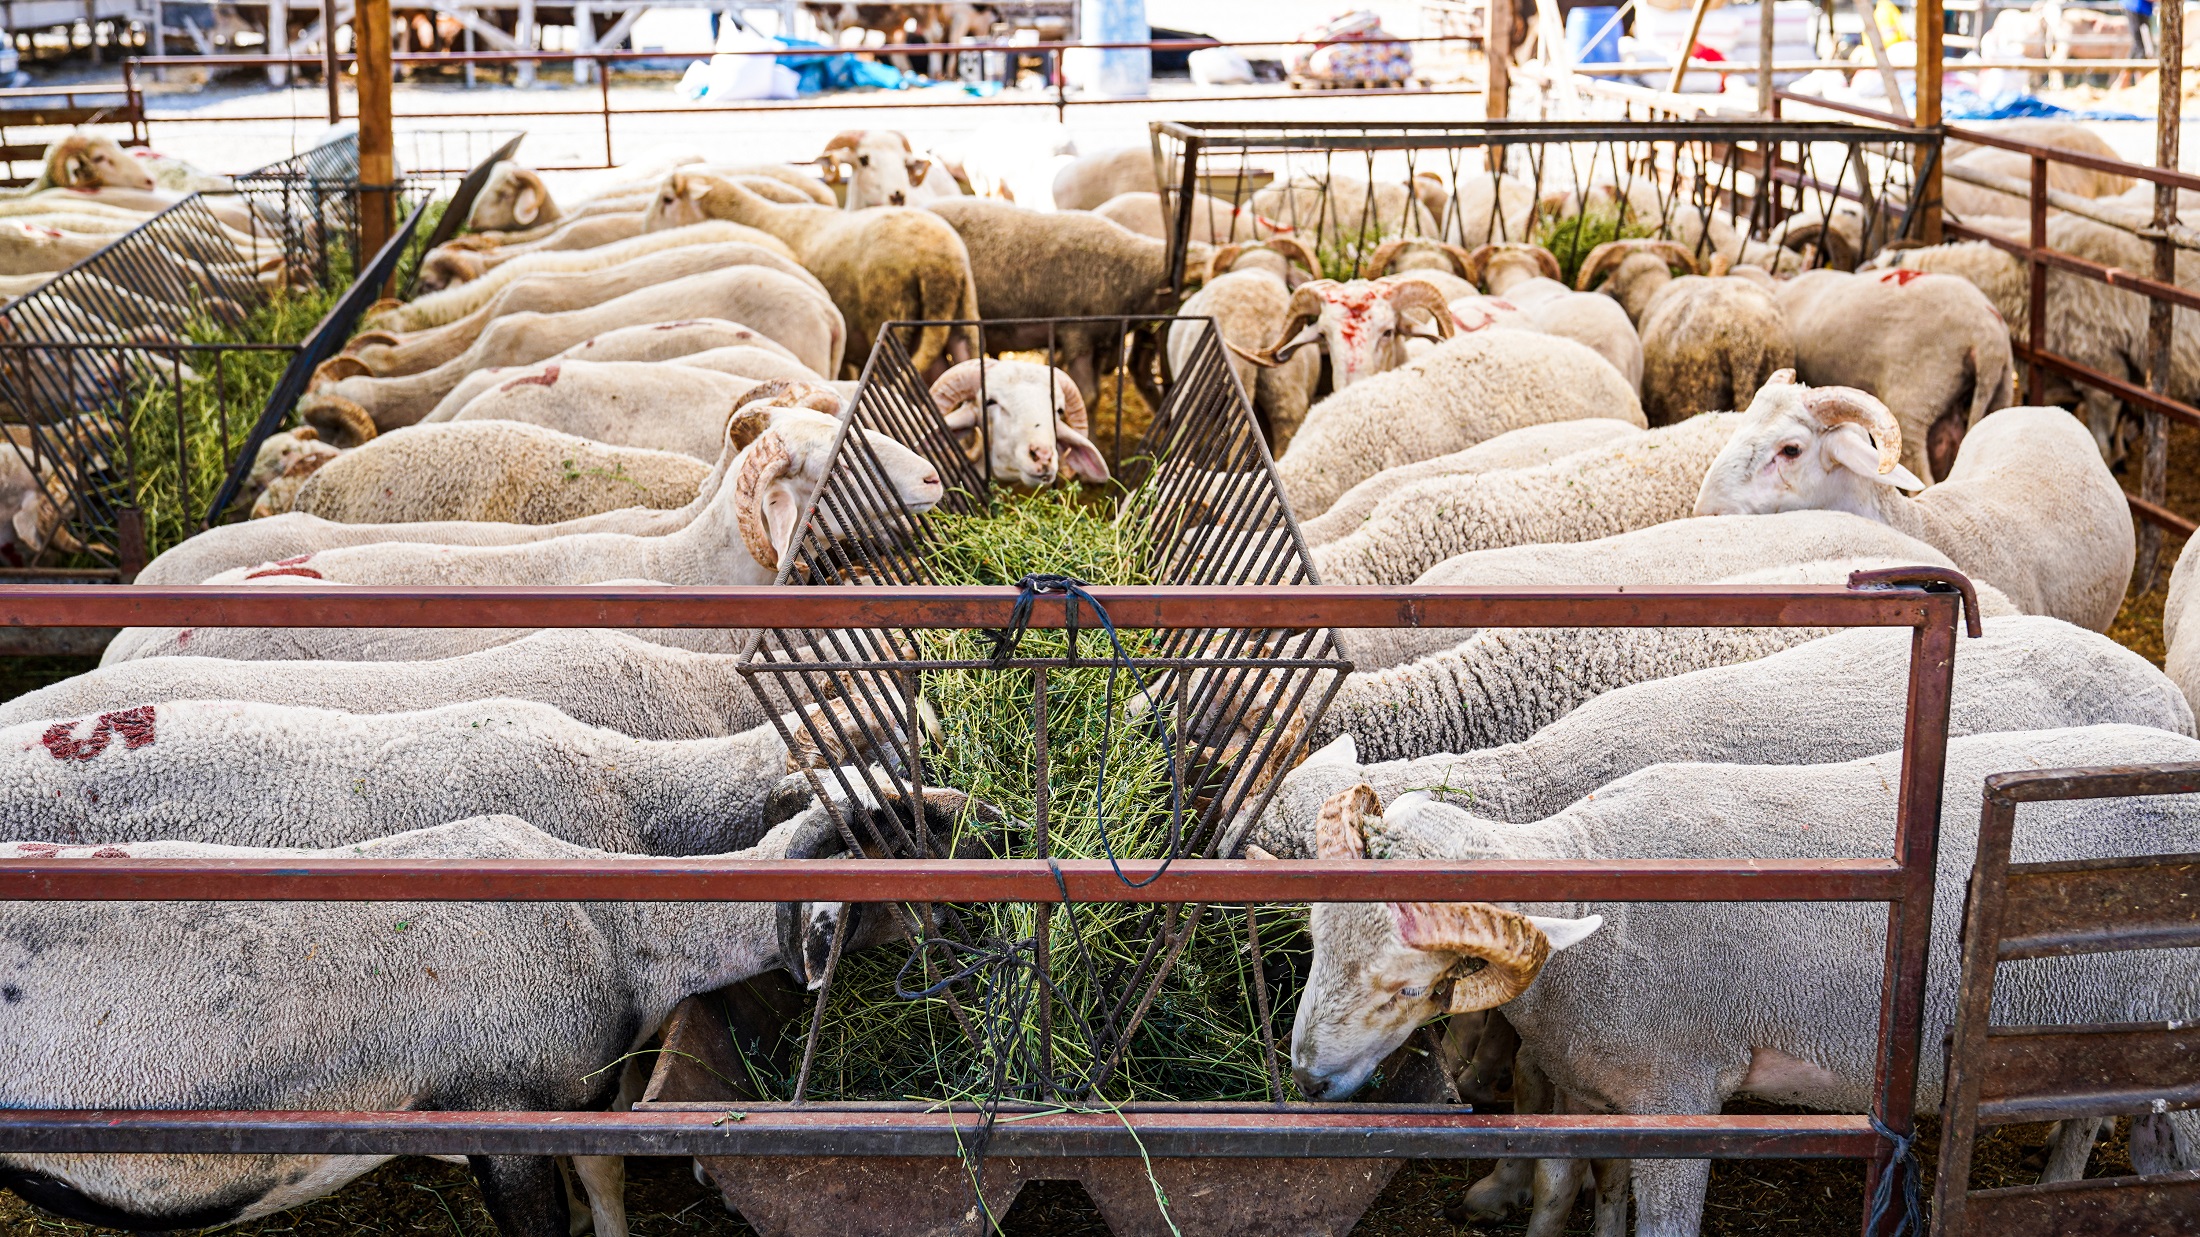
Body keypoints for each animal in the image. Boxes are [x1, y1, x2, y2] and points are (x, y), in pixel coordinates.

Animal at [646, 168, 978, 377]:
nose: (644, 230)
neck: (762, 218)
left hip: (890, 312)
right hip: (962, 315)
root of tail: (940, 265)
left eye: (667, 199)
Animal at [1284, 724, 2200, 1236]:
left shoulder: (1678, 1094)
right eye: (1316, 938)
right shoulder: (1594, 1081)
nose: (1306, 1077)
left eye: (1414, 986)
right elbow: (1565, 1186)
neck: (1593, 903)